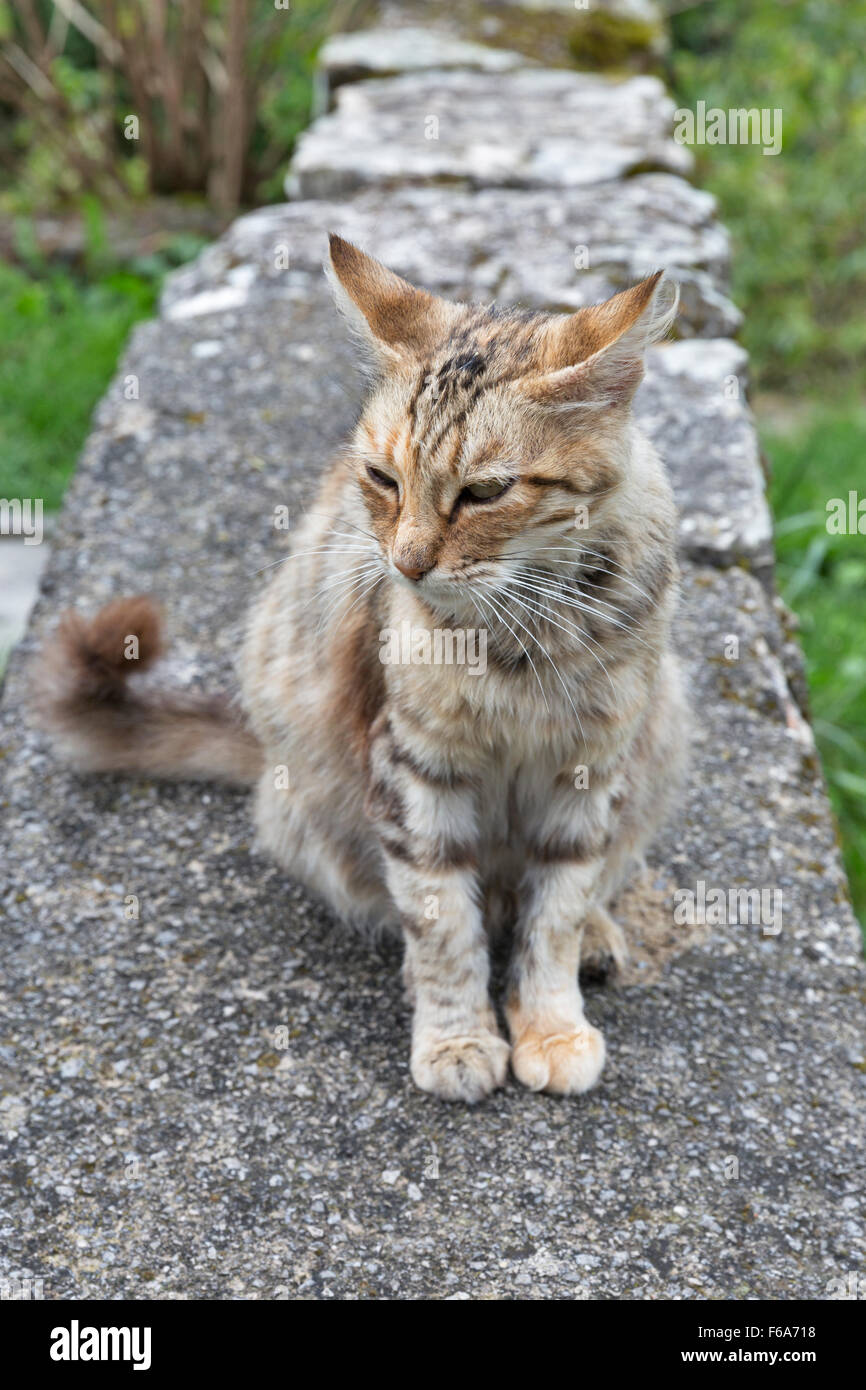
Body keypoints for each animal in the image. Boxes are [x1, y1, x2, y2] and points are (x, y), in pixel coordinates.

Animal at [37, 241, 692, 1106]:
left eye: (486, 492)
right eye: (384, 479)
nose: (408, 564)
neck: (526, 637)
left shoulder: (590, 768)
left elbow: (556, 912)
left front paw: (550, 1024)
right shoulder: (413, 764)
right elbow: (443, 920)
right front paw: (457, 1038)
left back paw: (596, 937)